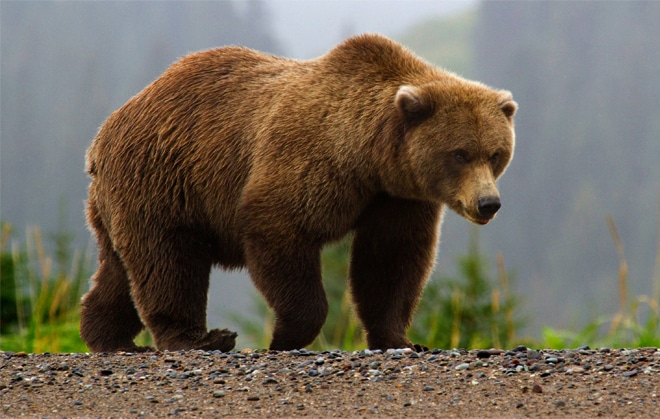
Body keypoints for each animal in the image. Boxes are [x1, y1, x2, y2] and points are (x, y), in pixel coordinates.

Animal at [81, 33, 516, 354]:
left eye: (495, 153)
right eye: (459, 153)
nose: (488, 203)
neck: (369, 157)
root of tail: (105, 132)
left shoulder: (397, 197)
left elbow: (391, 260)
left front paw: (400, 339)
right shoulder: (309, 161)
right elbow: (279, 229)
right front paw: (284, 336)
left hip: (126, 198)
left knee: (120, 269)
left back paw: (109, 337)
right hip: (164, 179)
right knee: (168, 261)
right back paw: (200, 339)